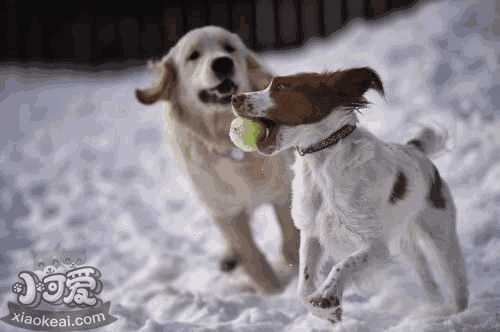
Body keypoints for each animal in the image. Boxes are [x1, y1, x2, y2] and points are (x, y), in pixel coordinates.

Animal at [135, 26, 298, 294]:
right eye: (193, 55)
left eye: (229, 48)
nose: (223, 63)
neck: (228, 143)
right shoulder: (224, 209)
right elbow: (250, 254)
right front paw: (272, 292)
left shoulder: (282, 191)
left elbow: (291, 236)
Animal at [232, 68, 466, 324]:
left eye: (281, 87)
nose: (234, 97)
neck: (321, 161)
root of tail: (416, 150)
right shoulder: (312, 233)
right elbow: (303, 287)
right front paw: (326, 311)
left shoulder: (376, 245)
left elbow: (344, 264)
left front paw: (328, 296)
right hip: (406, 243)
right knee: (426, 277)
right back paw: (432, 309)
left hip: (439, 233)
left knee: (454, 279)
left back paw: (454, 312)